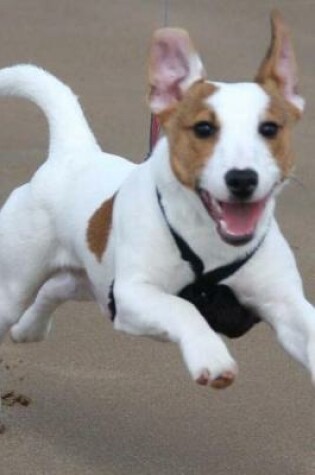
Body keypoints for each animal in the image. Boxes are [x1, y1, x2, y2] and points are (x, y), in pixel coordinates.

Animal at [0, 11, 315, 390]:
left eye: (269, 129)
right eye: (203, 129)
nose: (242, 178)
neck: (208, 240)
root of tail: (73, 152)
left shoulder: (285, 304)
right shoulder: (134, 294)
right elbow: (184, 308)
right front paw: (210, 354)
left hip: (91, 279)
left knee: (56, 287)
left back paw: (29, 329)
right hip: (18, 284)